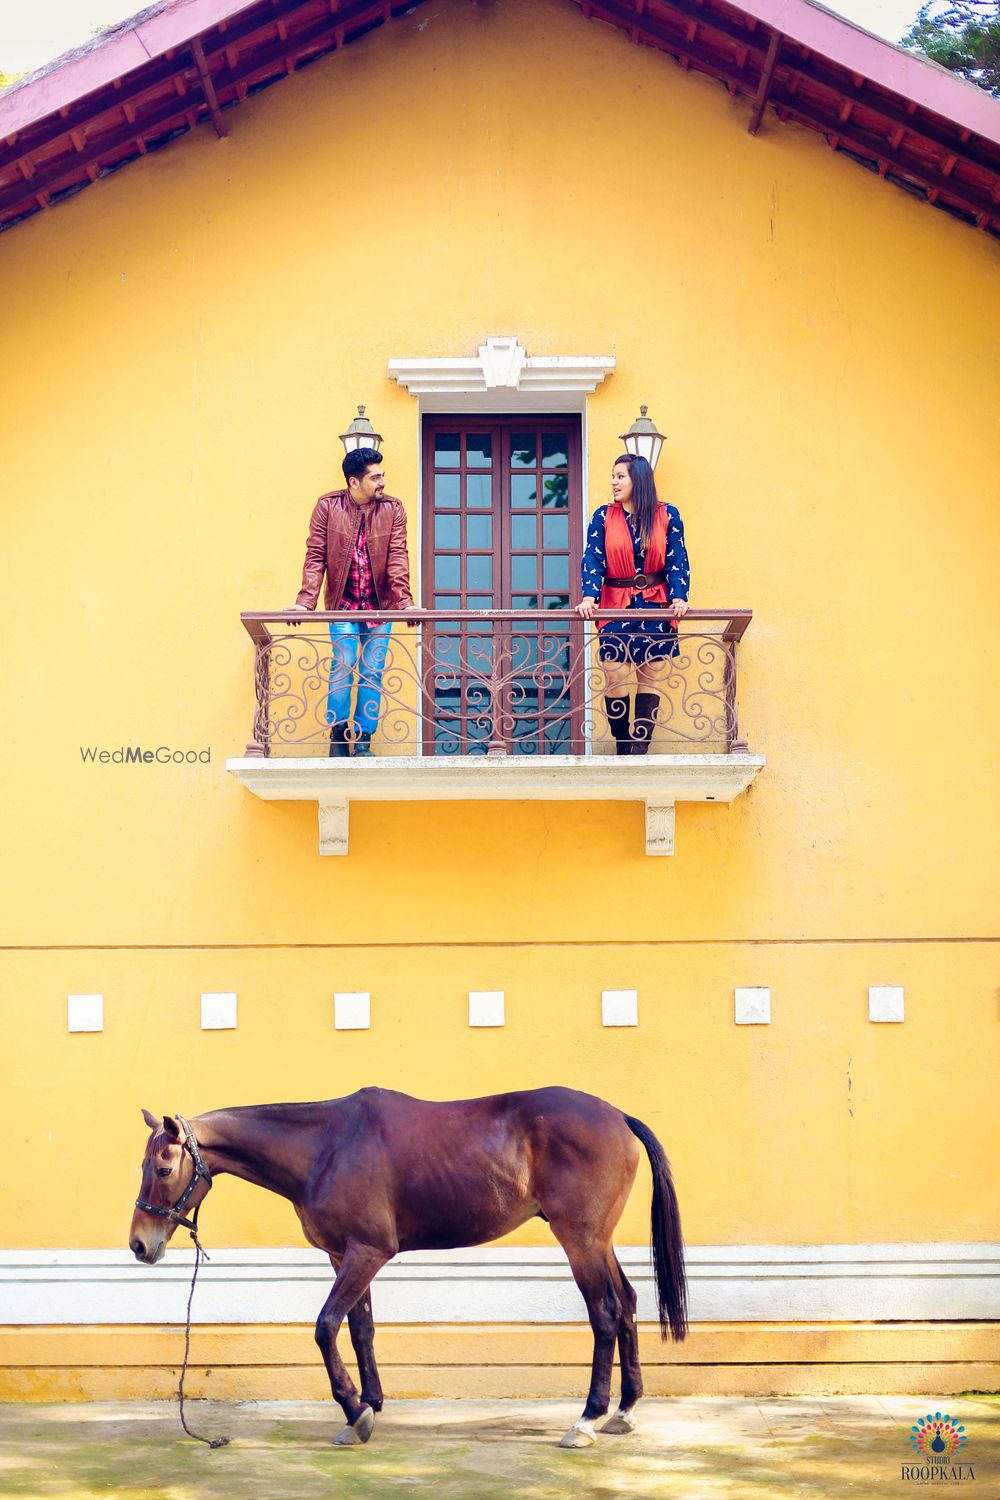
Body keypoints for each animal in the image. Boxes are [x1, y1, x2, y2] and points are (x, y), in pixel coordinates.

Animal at [128, 1086, 683, 1446]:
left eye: (164, 1168)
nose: (139, 1244)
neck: (325, 1148)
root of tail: (617, 1116)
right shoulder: (344, 1254)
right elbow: (360, 1329)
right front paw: (369, 1404)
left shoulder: (368, 1251)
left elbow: (326, 1326)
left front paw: (354, 1411)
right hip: (598, 1240)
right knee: (628, 1304)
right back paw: (624, 1411)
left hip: (580, 1240)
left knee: (606, 1313)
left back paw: (587, 1420)